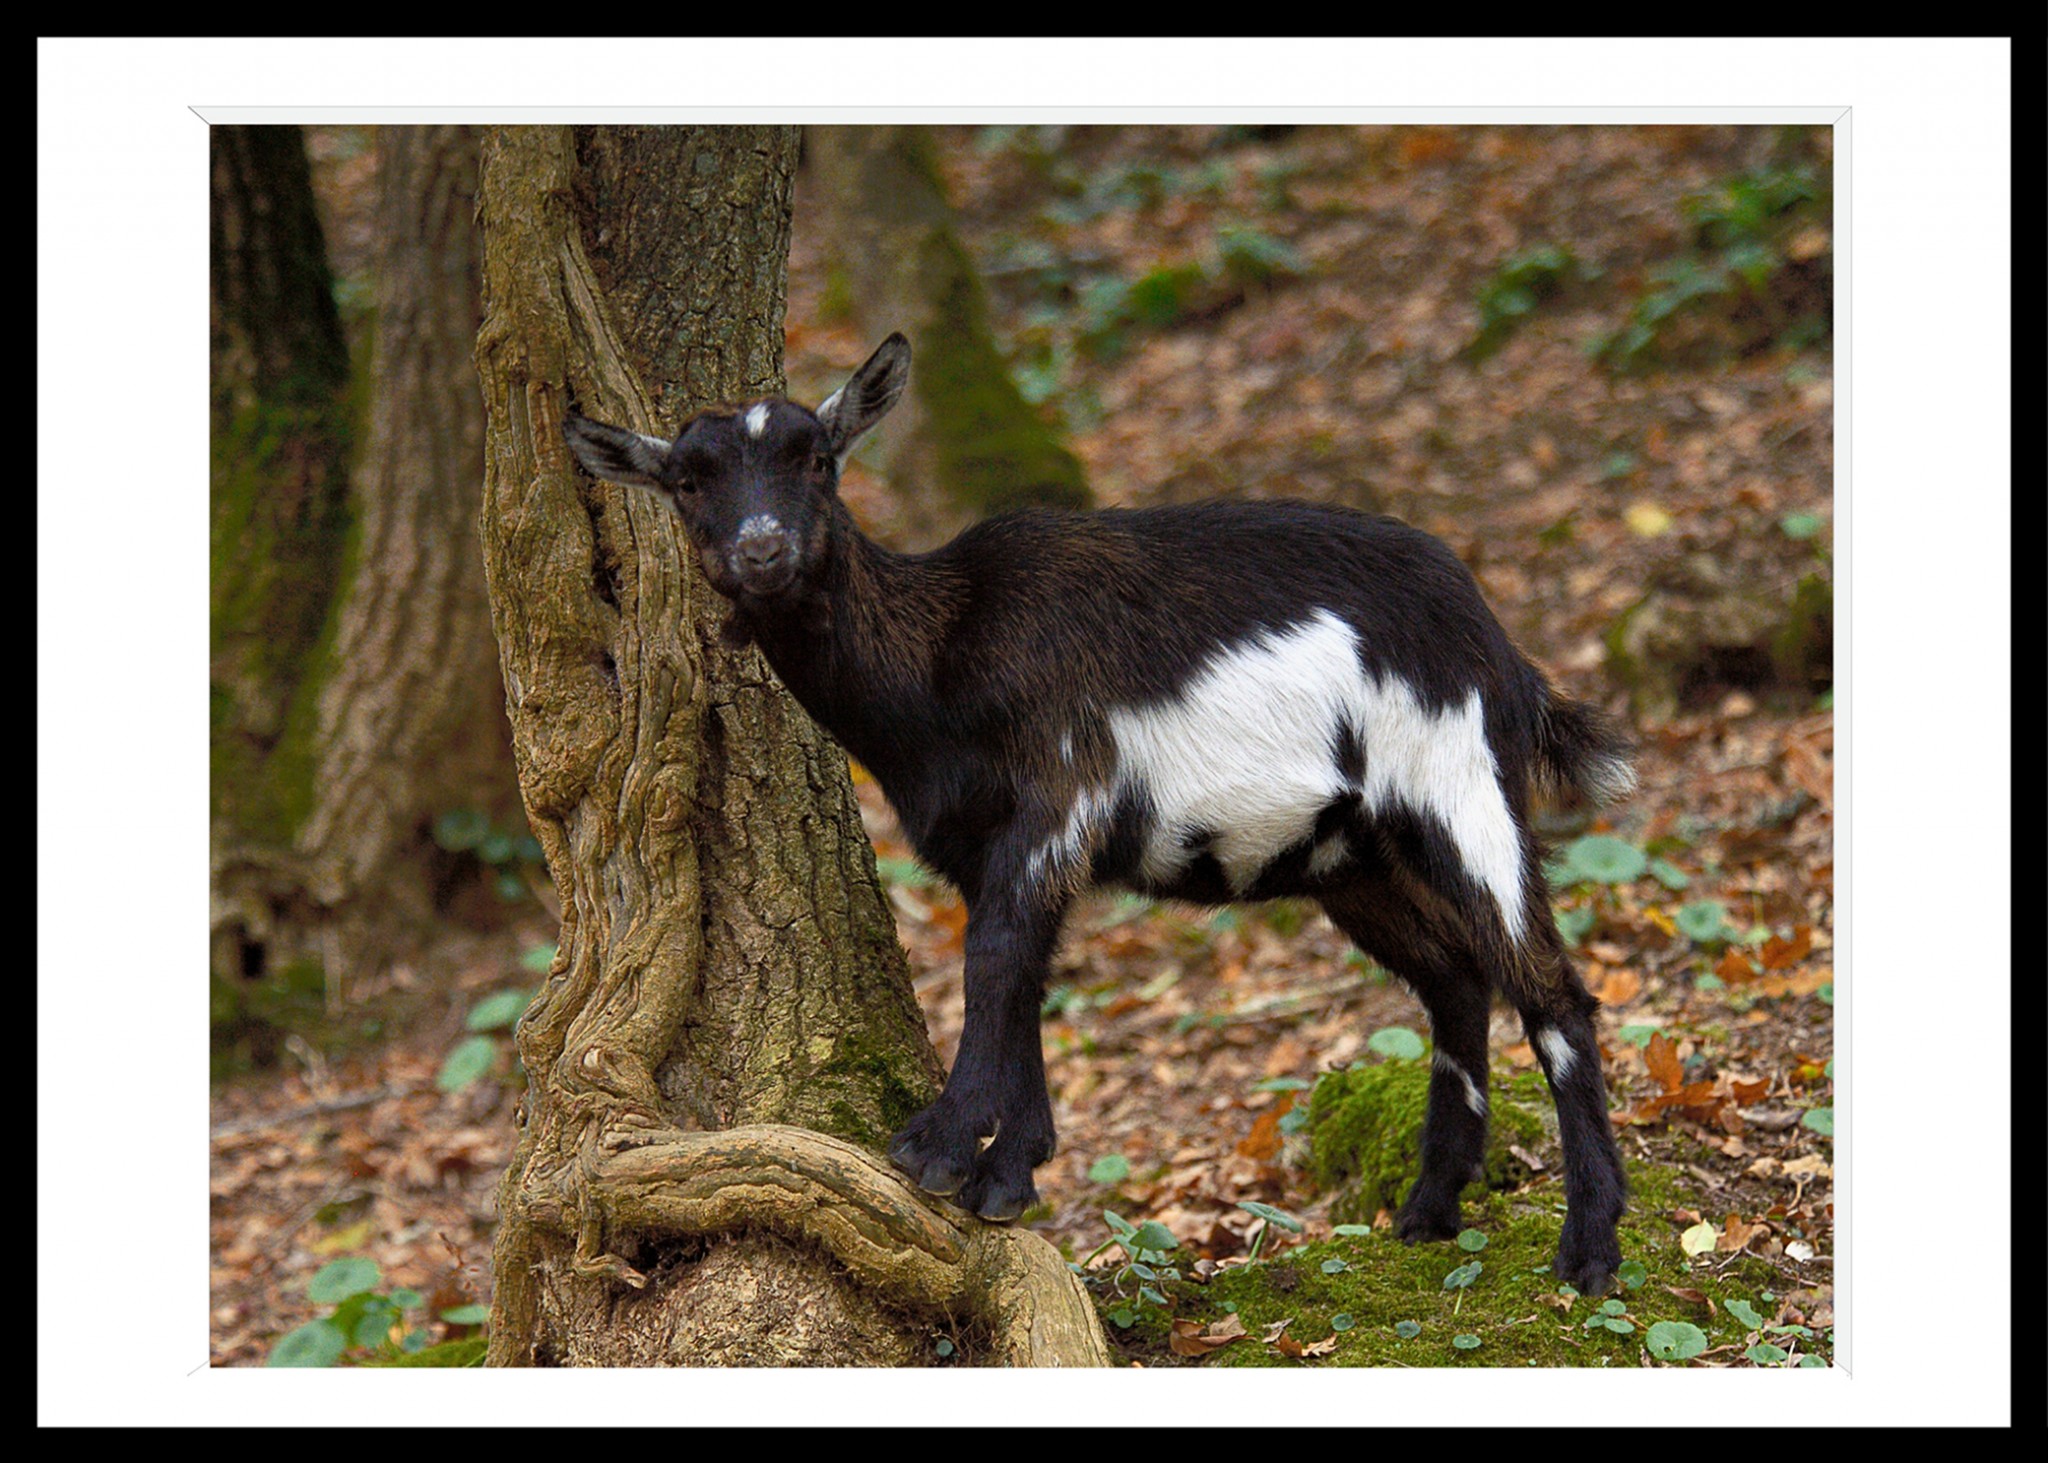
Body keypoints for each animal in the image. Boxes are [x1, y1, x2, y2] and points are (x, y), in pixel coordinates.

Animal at [557, 327, 1630, 1286]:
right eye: (688, 480)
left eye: (816, 458)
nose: (764, 550)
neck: (945, 652)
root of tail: (1504, 650)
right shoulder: (982, 846)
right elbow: (1025, 968)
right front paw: (1009, 1169)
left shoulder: (1057, 794)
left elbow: (993, 959)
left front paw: (940, 1149)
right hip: (1354, 858)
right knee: (1456, 980)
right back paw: (1429, 1211)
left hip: (1459, 785)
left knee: (1551, 990)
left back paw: (1589, 1249)